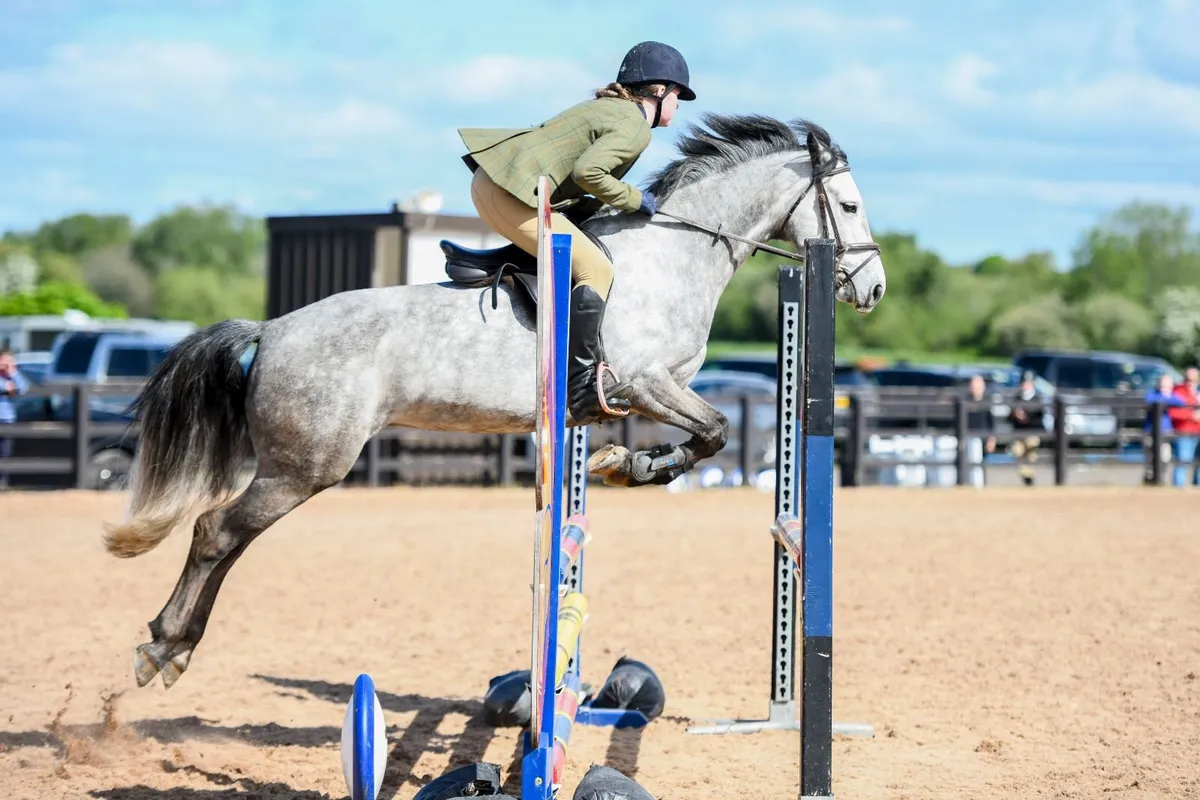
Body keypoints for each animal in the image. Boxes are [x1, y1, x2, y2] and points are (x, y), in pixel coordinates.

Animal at [103, 113, 887, 690]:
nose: (873, 289)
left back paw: (171, 644)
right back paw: (164, 647)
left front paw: (619, 464)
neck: (677, 257)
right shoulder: (642, 382)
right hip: (306, 465)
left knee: (225, 538)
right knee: (217, 533)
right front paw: (631, 467)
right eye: (849, 206)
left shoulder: (649, 393)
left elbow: (707, 436)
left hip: (295, 465)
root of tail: (269, 330)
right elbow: (717, 430)